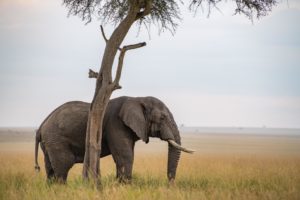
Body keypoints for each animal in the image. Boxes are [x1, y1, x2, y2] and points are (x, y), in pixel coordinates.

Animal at [34, 96, 195, 183]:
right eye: (162, 118)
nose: (170, 185)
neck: (137, 99)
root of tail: (41, 125)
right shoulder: (116, 124)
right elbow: (125, 156)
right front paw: (126, 187)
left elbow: (126, 155)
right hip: (57, 140)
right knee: (63, 166)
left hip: (49, 142)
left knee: (50, 169)